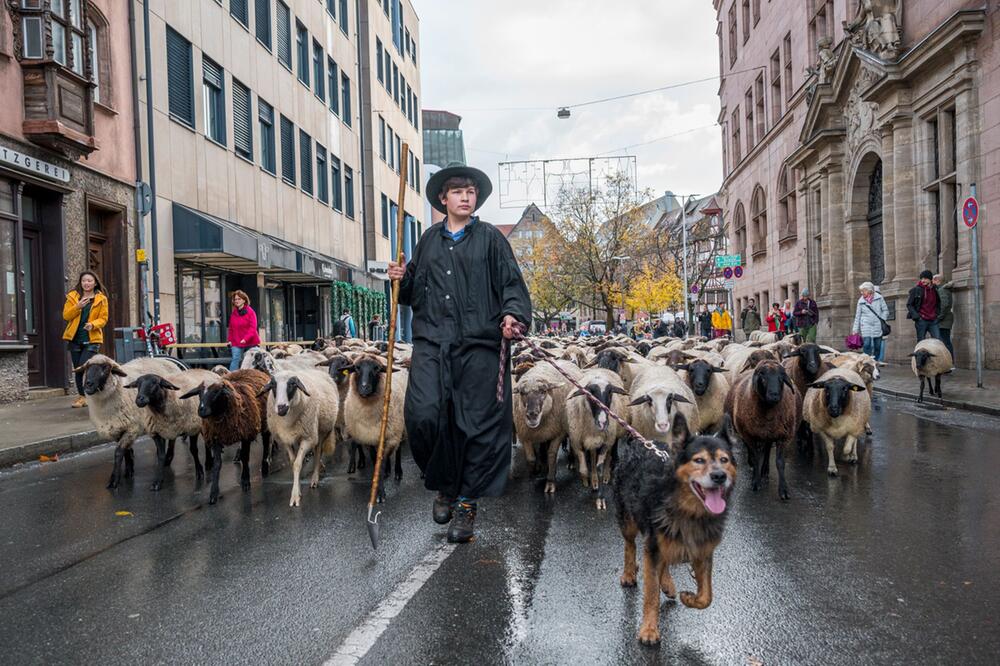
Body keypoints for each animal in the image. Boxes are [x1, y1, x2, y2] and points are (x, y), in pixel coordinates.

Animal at [612, 412, 740, 644]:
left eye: (724, 460)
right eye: (699, 460)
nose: (719, 476)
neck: (688, 509)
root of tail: (641, 442)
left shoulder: (703, 551)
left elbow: (707, 596)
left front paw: (690, 598)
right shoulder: (653, 545)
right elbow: (651, 594)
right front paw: (649, 630)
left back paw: (668, 584)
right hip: (628, 519)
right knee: (630, 545)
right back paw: (628, 573)